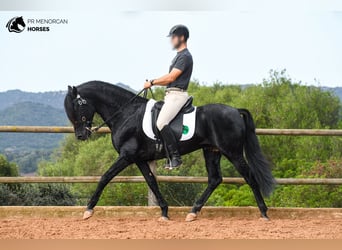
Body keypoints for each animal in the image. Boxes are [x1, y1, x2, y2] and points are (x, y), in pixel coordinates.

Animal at [64, 80, 276, 221]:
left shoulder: (127, 156)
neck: (126, 114)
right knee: (215, 179)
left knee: (249, 177)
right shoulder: (139, 159)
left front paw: (88, 210)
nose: (81, 136)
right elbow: (152, 182)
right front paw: (165, 212)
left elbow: (105, 177)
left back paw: (263, 212)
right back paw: (193, 212)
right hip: (211, 151)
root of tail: (235, 111)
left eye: (77, 106)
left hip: (232, 152)